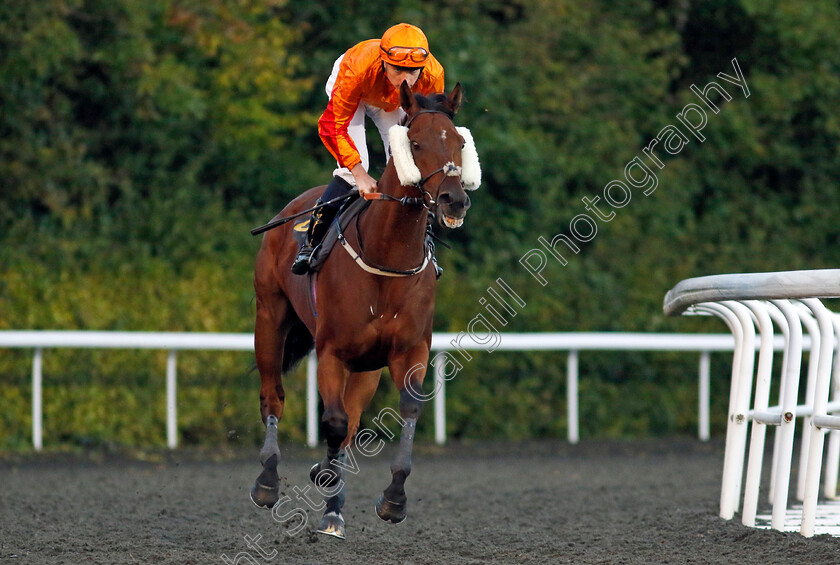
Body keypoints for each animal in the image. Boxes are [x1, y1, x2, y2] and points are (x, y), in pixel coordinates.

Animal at [249, 80, 480, 536]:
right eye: (415, 142)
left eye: (460, 142)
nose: (453, 200)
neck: (387, 254)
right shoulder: (331, 351)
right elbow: (333, 421)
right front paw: (322, 480)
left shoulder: (409, 351)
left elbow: (404, 410)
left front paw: (393, 499)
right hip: (269, 318)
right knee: (274, 396)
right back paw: (268, 481)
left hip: (366, 367)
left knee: (351, 421)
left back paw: (332, 501)